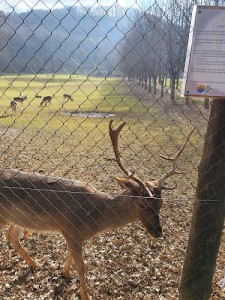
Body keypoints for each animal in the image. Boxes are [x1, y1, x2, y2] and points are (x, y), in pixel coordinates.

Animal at [0, 120, 194, 298]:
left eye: (161, 204)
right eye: (142, 204)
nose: (158, 232)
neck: (95, 218)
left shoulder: (70, 234)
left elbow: (70, 255)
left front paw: (65, 273)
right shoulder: (72, 230)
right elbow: (82, 266)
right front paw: (86, 295)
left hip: (19, 219)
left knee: (12, 235)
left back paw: (35, 264)